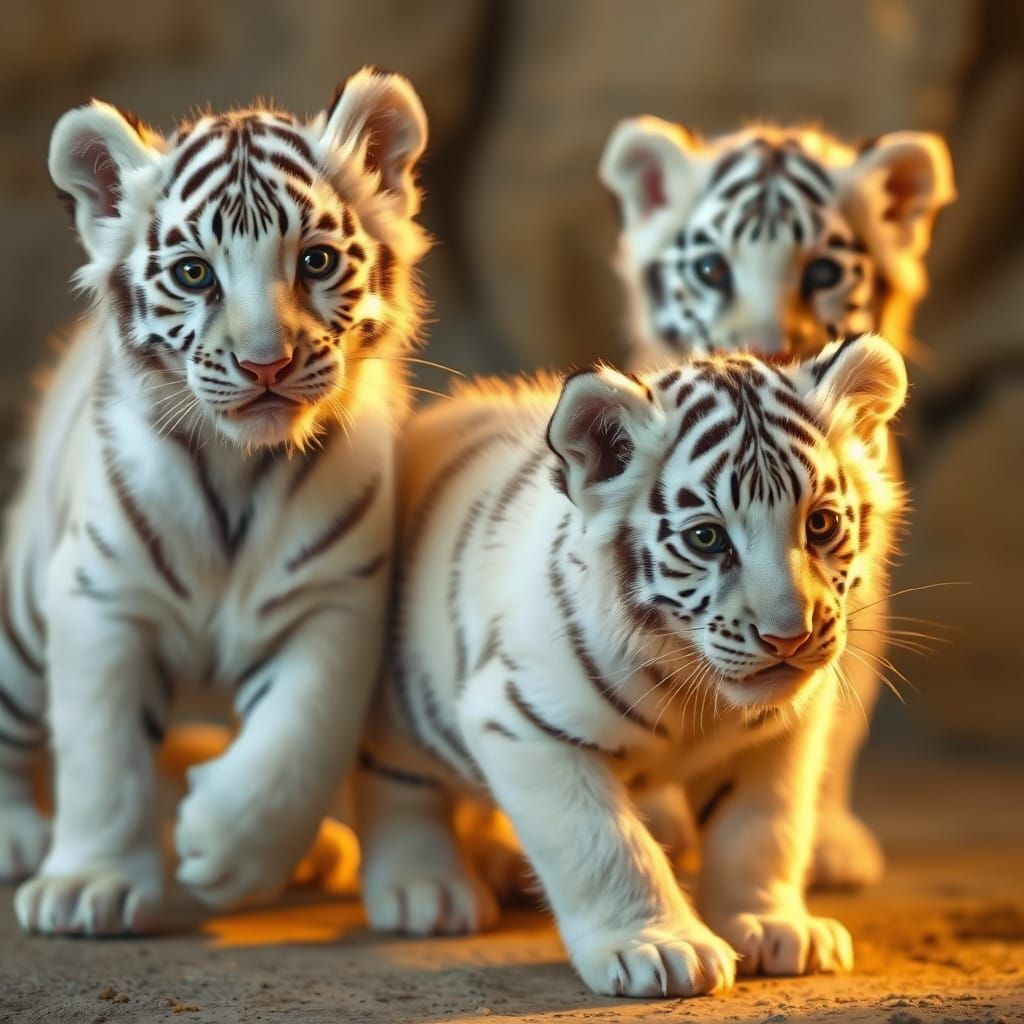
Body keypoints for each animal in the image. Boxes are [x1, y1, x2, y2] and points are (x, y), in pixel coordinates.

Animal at [1, 67, 429, 936]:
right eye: (195, 273)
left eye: (316, 261)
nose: (267, 363)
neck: (238, 472)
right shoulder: (100, 598)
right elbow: (102, 757)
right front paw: (88, 886)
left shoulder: (334, 601)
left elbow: (296, 739)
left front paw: (227, 849)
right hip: (23, 613)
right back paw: (20, 838)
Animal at [355, 333, 907, 998]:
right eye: (706, 539)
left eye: (820, 524)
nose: (788, 638)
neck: (695, 686)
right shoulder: (524, 723)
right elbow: (605, 844)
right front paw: (662, 948)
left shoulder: (778, 737)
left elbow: (763, 831)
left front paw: (773, 927)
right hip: (399, 704)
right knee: (400, 784)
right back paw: (428, 892)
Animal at [599, 119, 954, 888]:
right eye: (711, 271)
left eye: (821, 273)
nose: (760, 354)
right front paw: (661, 822)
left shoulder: (853, 586)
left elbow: (836, 715)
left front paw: (827, 844)